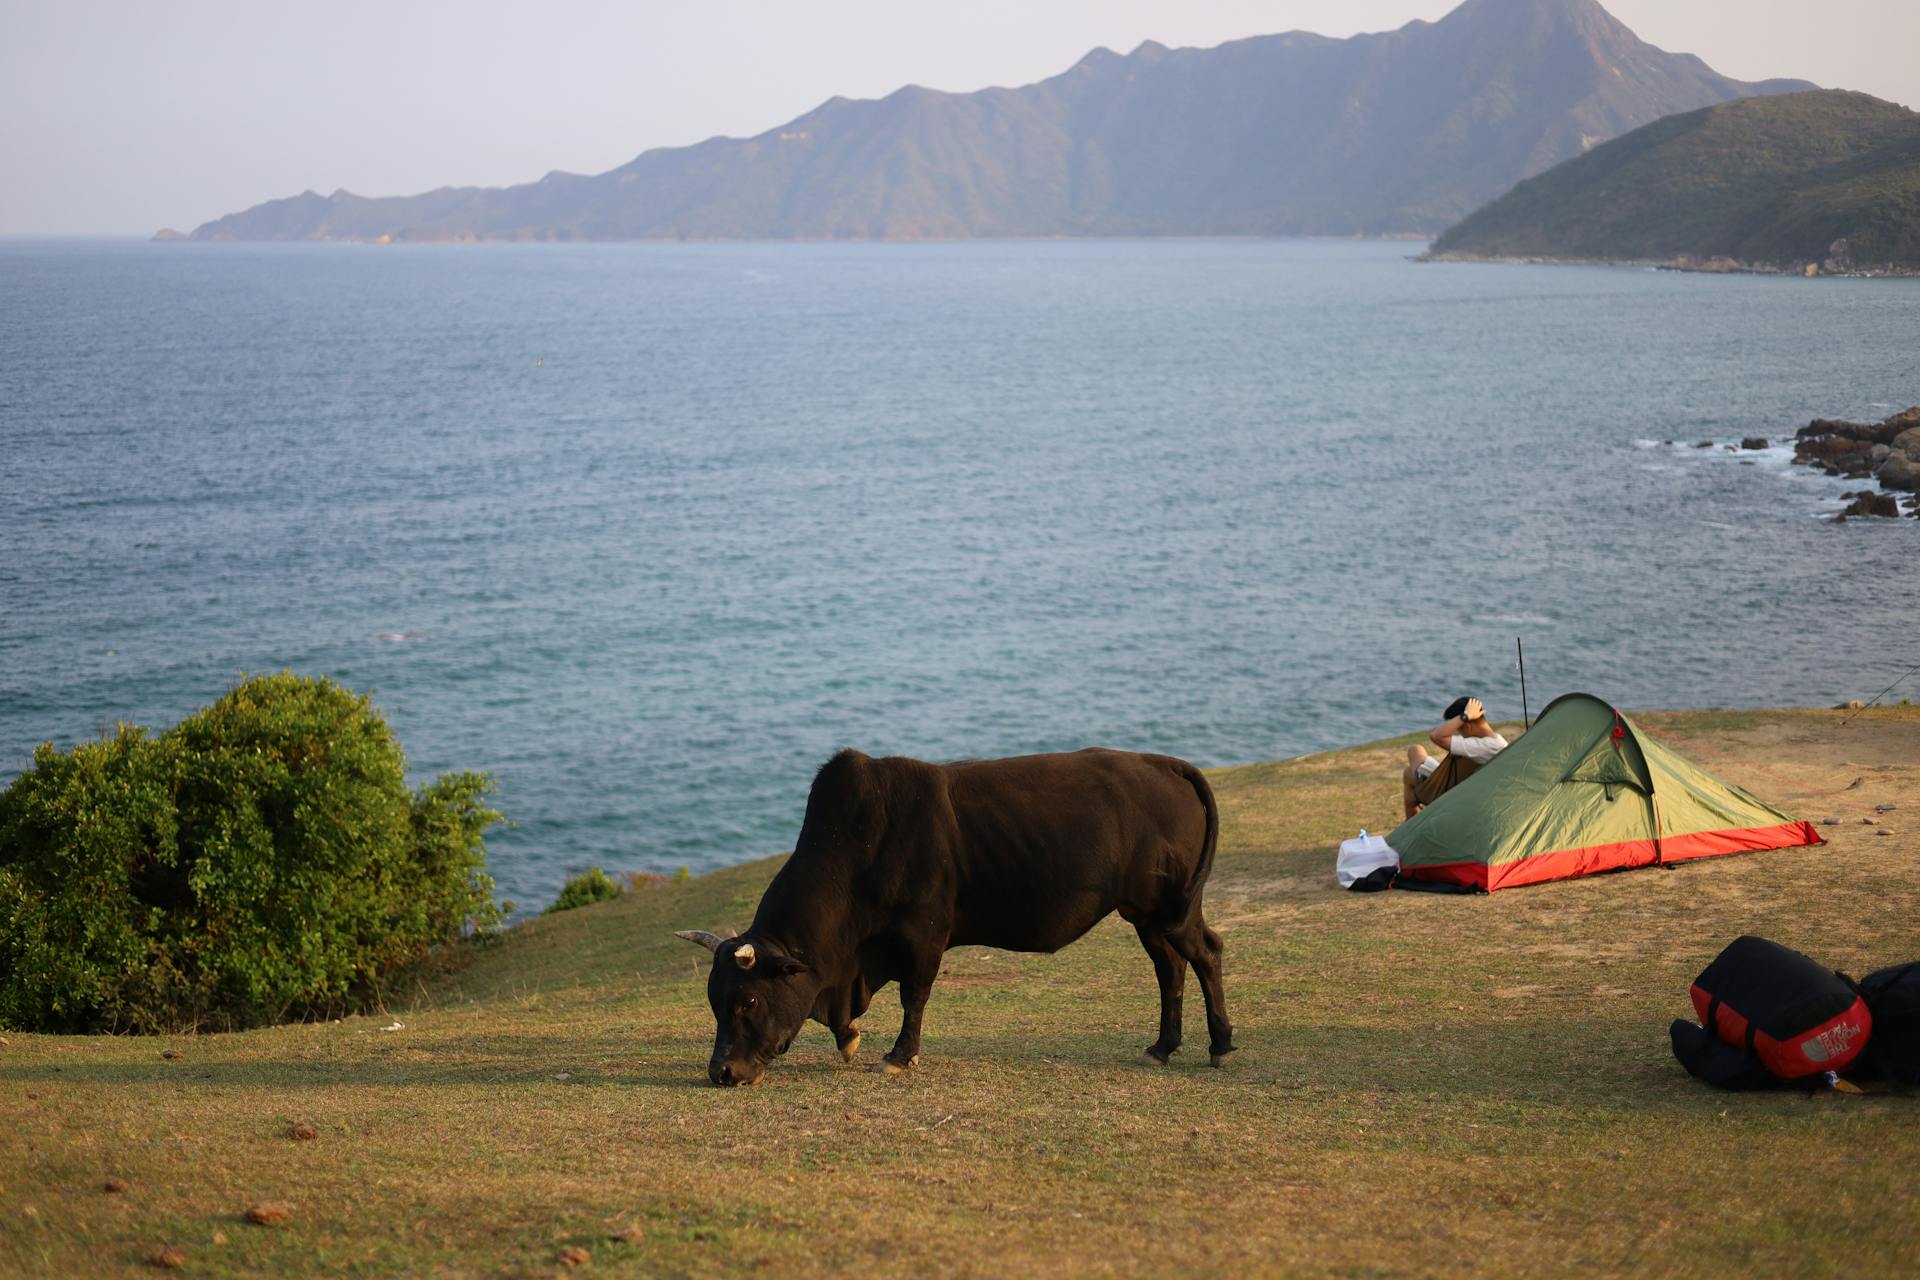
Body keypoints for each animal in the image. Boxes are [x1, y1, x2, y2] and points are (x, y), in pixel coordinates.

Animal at [683, 744, 1236, 1090]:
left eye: (750, 1000)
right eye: (714, 1000)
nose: (721, 1072)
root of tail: (1164, 764)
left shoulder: (924, 933)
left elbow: (914, 996)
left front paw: (899, 1057)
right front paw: (849, 1039)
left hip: (1173, 909)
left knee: (1206, 952)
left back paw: (1221, 1044)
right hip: (1146, 915)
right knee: (1169, 967)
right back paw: (1162, 1046)